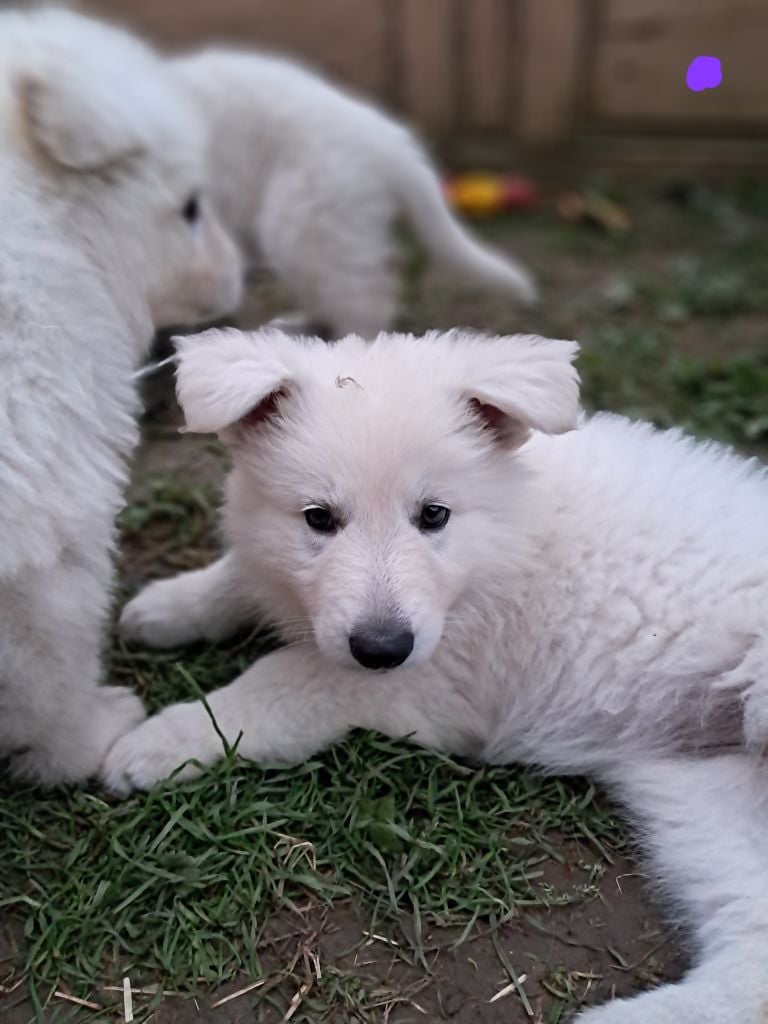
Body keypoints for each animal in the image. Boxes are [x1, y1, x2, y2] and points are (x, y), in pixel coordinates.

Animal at [107, 329, 768, 1024]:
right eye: (318, 518)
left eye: (433, 515)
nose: (382, 647)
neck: (503, 541)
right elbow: (243, 574)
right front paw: (167, 607)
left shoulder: (421, 681)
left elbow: (273, 684)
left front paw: (154, 743)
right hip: (705, 799)